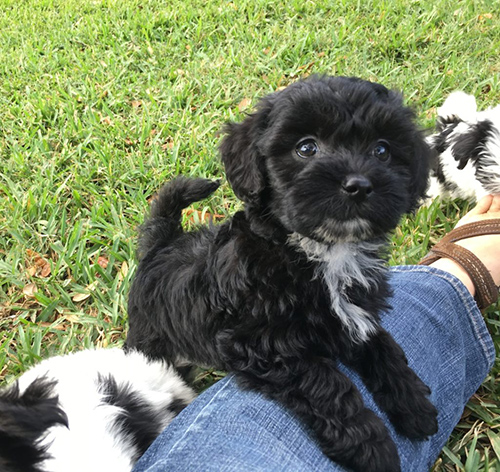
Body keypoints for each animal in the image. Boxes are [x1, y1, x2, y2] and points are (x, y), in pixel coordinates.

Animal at [126, 75, 438, 470]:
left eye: (382, 151)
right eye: (307, 148)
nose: (358, 185)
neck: (318, 252)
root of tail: (161, 244)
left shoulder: (357, 316)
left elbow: (385, 346)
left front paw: (414, 404)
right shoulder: (260, 345)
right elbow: (325, 383)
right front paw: (371, 445)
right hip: (152, 340)